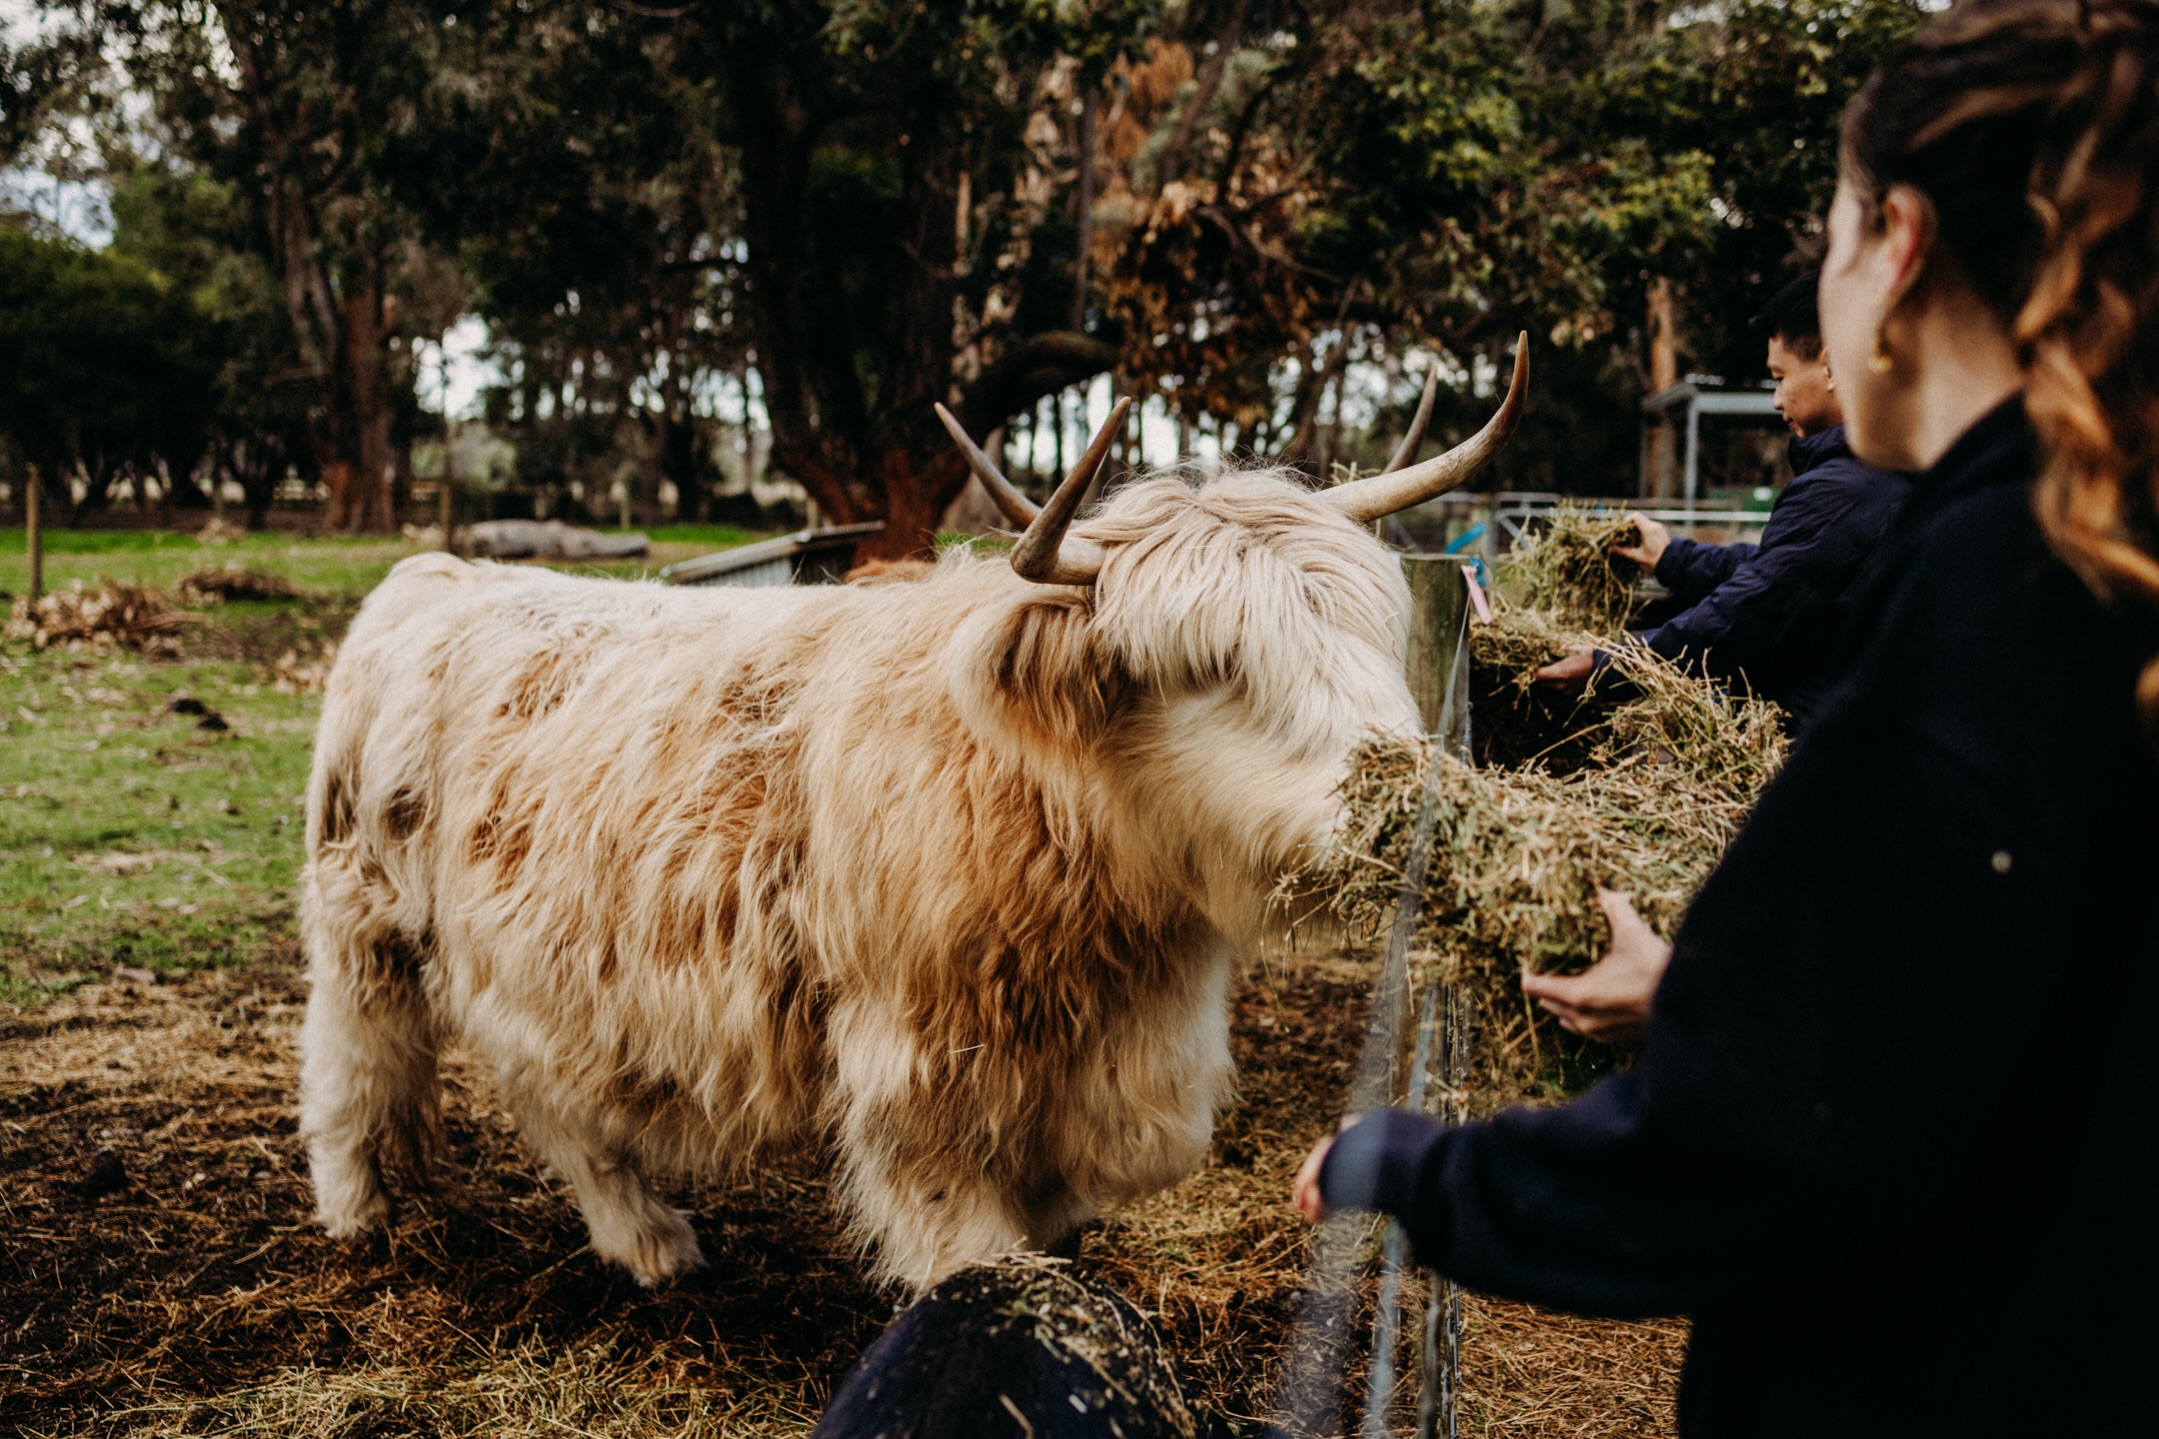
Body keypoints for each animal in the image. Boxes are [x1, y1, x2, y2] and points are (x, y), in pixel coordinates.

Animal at [297, 341, 1527, 1290]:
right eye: (1208, 663)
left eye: (1361, 627)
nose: (1415, 800)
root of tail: (434, 575)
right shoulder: (916, 1055)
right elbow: (960, 1233)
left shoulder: (1136, 1056)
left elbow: (1113, 1170)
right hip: (365, 926)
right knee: (352, 1063)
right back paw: (360, 1218)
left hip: (540, 965)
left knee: (551, 1093)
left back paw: (645, 1238)